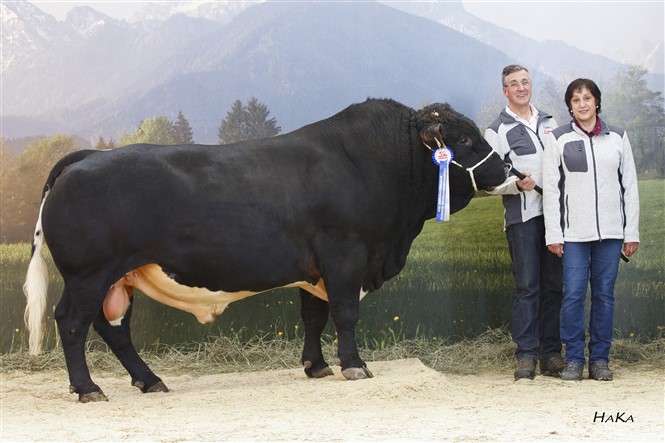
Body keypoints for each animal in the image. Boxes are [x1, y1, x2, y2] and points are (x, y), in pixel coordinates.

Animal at [23, 98, 506, 402]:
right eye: (463, 141)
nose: (506, 170)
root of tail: (87, 156)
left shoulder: (315, 269)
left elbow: (313, 316)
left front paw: (316, 366)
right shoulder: (345, 254)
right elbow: (345, 313)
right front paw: (354, 365)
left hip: (121, 276)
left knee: (114, 329)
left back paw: (150, 380)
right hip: (89, 273)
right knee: (72, 323)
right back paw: (89, 388)